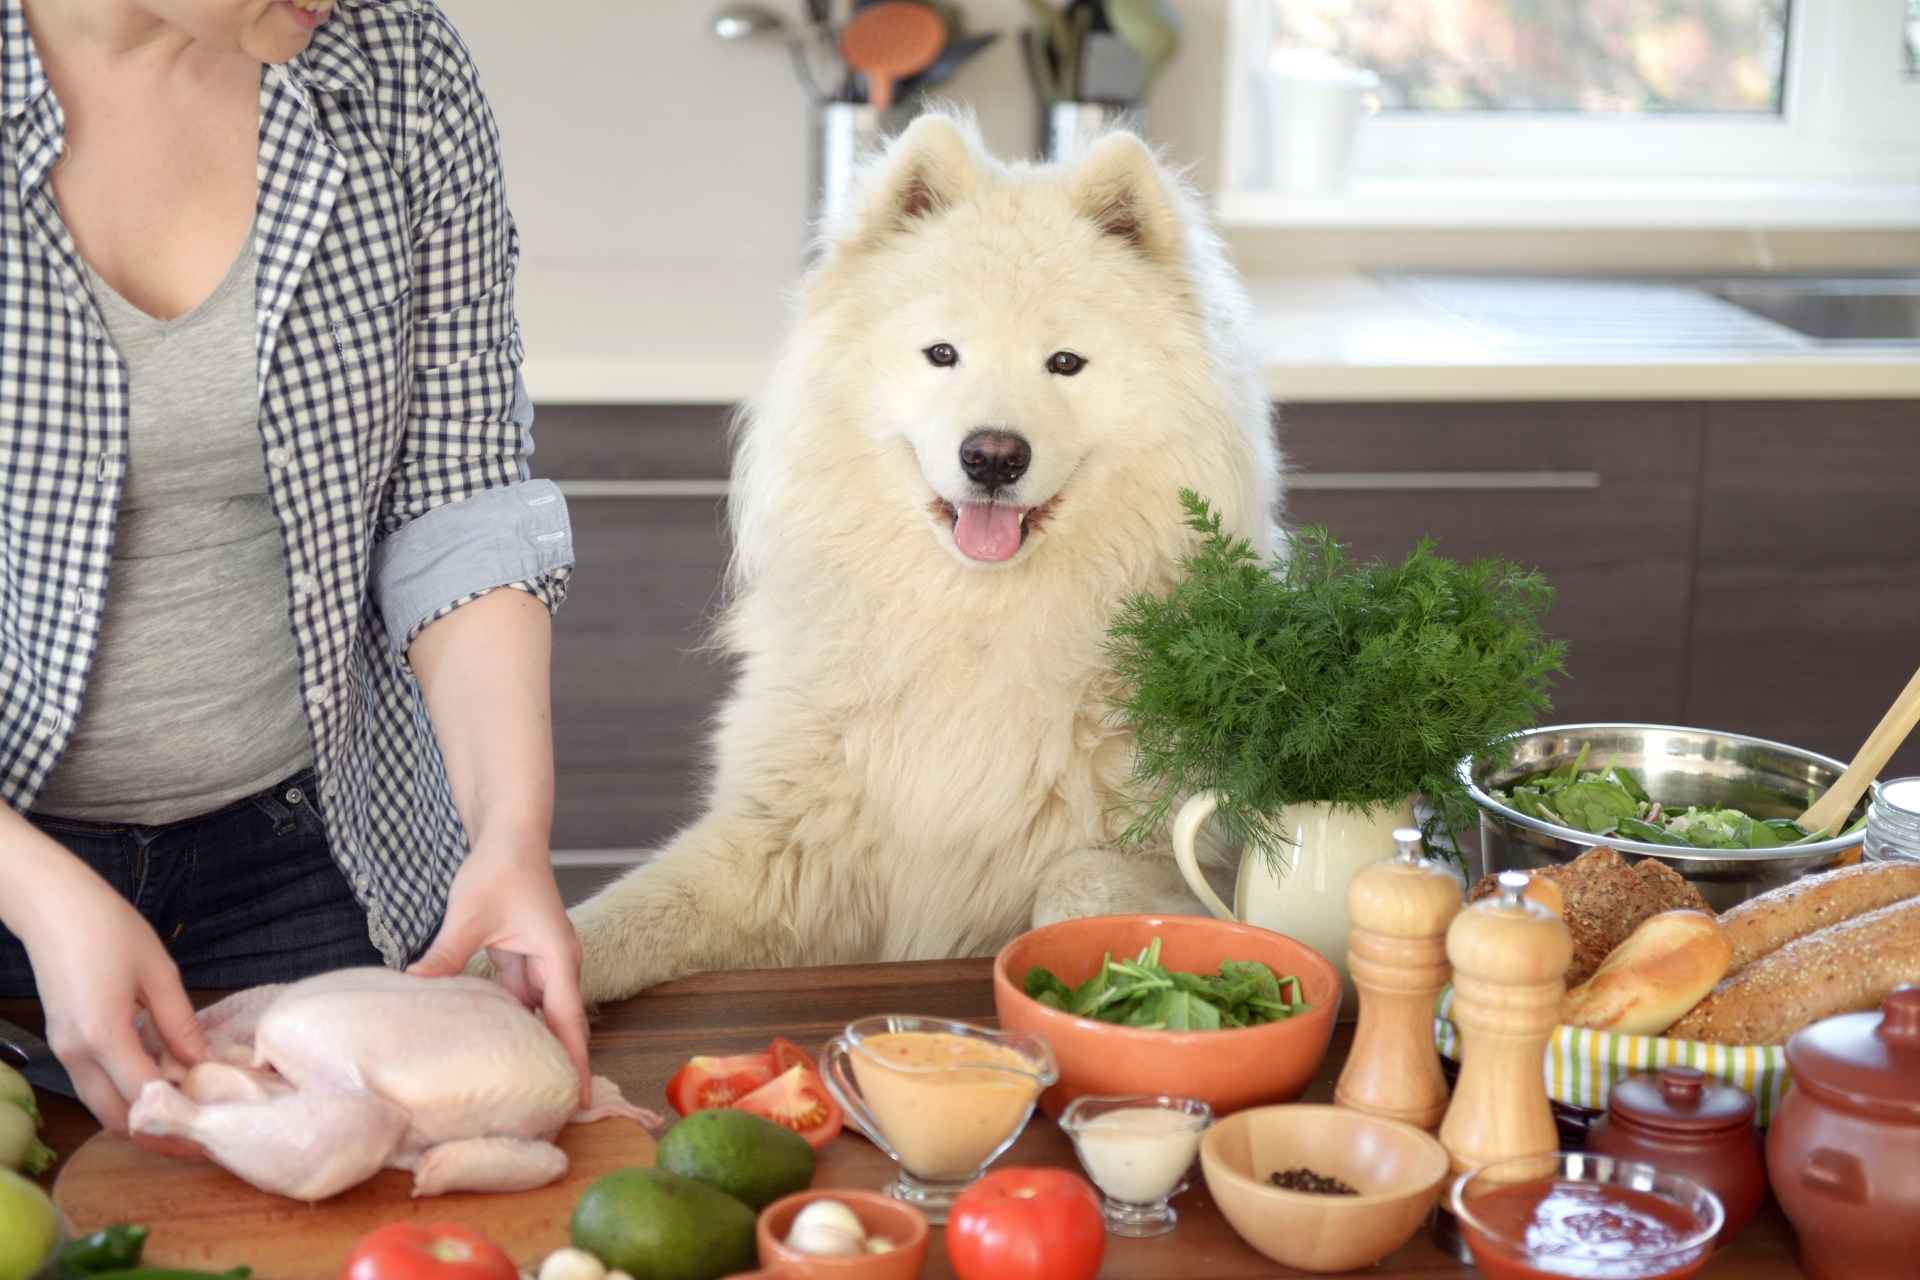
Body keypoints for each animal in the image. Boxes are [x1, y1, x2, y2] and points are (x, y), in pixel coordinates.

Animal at [576, 115, 1282, 1005]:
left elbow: (1080, 887)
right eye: (943, 354)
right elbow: (606, 922)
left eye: (1065, 363)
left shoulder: (1163, 847)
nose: (993, 456)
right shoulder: (778, 847)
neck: (975, 622)